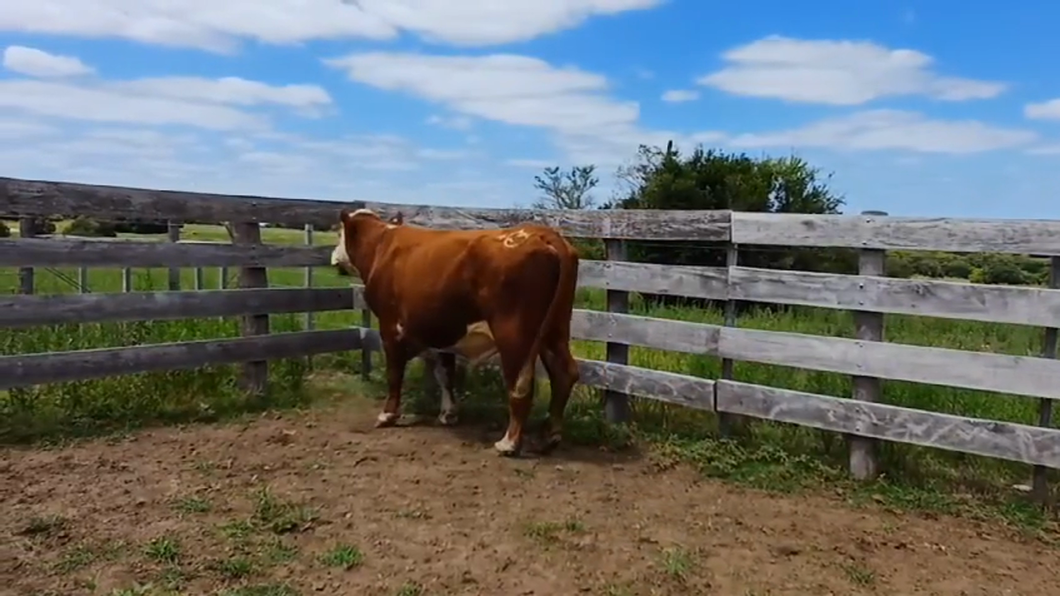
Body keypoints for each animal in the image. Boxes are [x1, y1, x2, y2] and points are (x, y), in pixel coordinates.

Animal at [330, 207, 580, 453]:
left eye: (339, 233)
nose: (334, 255)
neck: (382, 245)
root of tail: (542, 233)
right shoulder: (441, 330)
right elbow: (445, 373)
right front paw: (448, 413)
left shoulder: (390, 327)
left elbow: (394, 373)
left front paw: (387, 415)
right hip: (555, 329)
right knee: (564, 373)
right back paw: (549, 436)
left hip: (514, 335)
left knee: (520, 385)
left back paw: (509, 442)